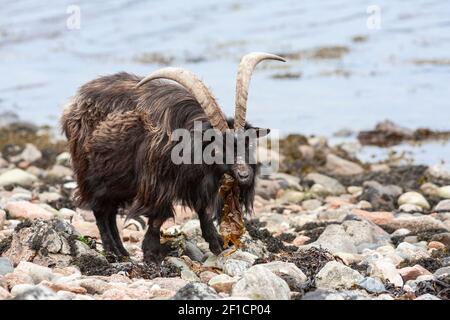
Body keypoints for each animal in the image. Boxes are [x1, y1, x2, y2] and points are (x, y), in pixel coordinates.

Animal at [60, 52, 284, 262]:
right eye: (218, 148)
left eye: (247, 143)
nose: (244, 175)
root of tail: (74, 103)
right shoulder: (157, 184)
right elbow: (158, 217)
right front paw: (151, 253)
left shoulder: (198, 185)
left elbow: (204, 212)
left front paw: (218, 244)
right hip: (95, 175)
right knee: (100, 210)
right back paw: (113, 251)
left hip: (119, 182)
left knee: (110, 212)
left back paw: (122, 252)